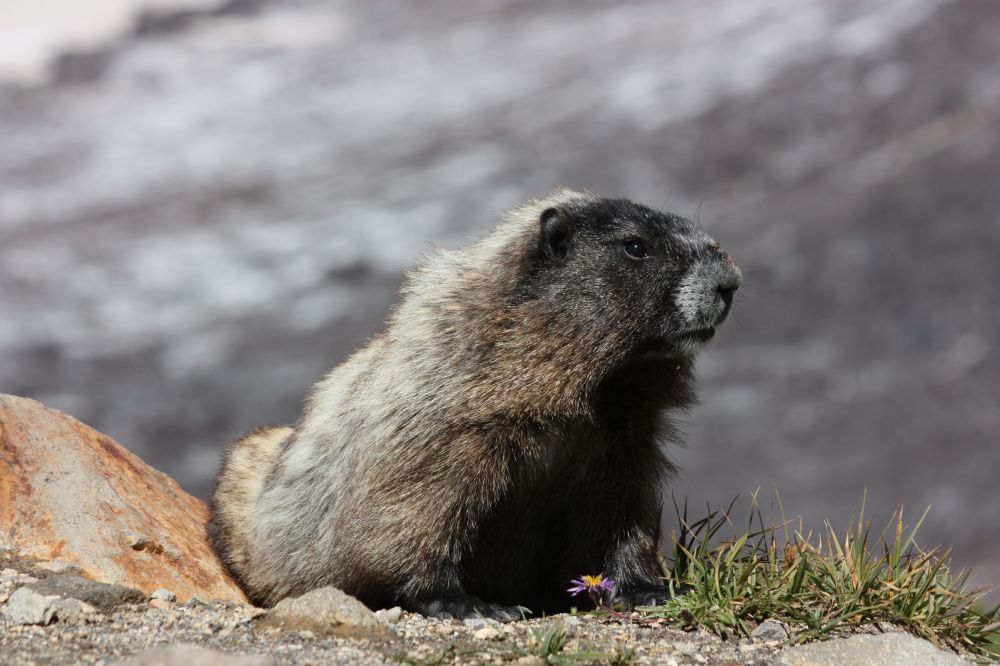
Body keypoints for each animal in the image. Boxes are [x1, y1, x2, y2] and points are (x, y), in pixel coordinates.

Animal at [208, 189, 741, 619]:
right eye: (635, 246)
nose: (731, 282)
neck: (602, 387)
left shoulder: (624, 439)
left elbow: (620, 508)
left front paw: (645, 588)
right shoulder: (447, 421)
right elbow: (413, 504)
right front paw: (467, 604)